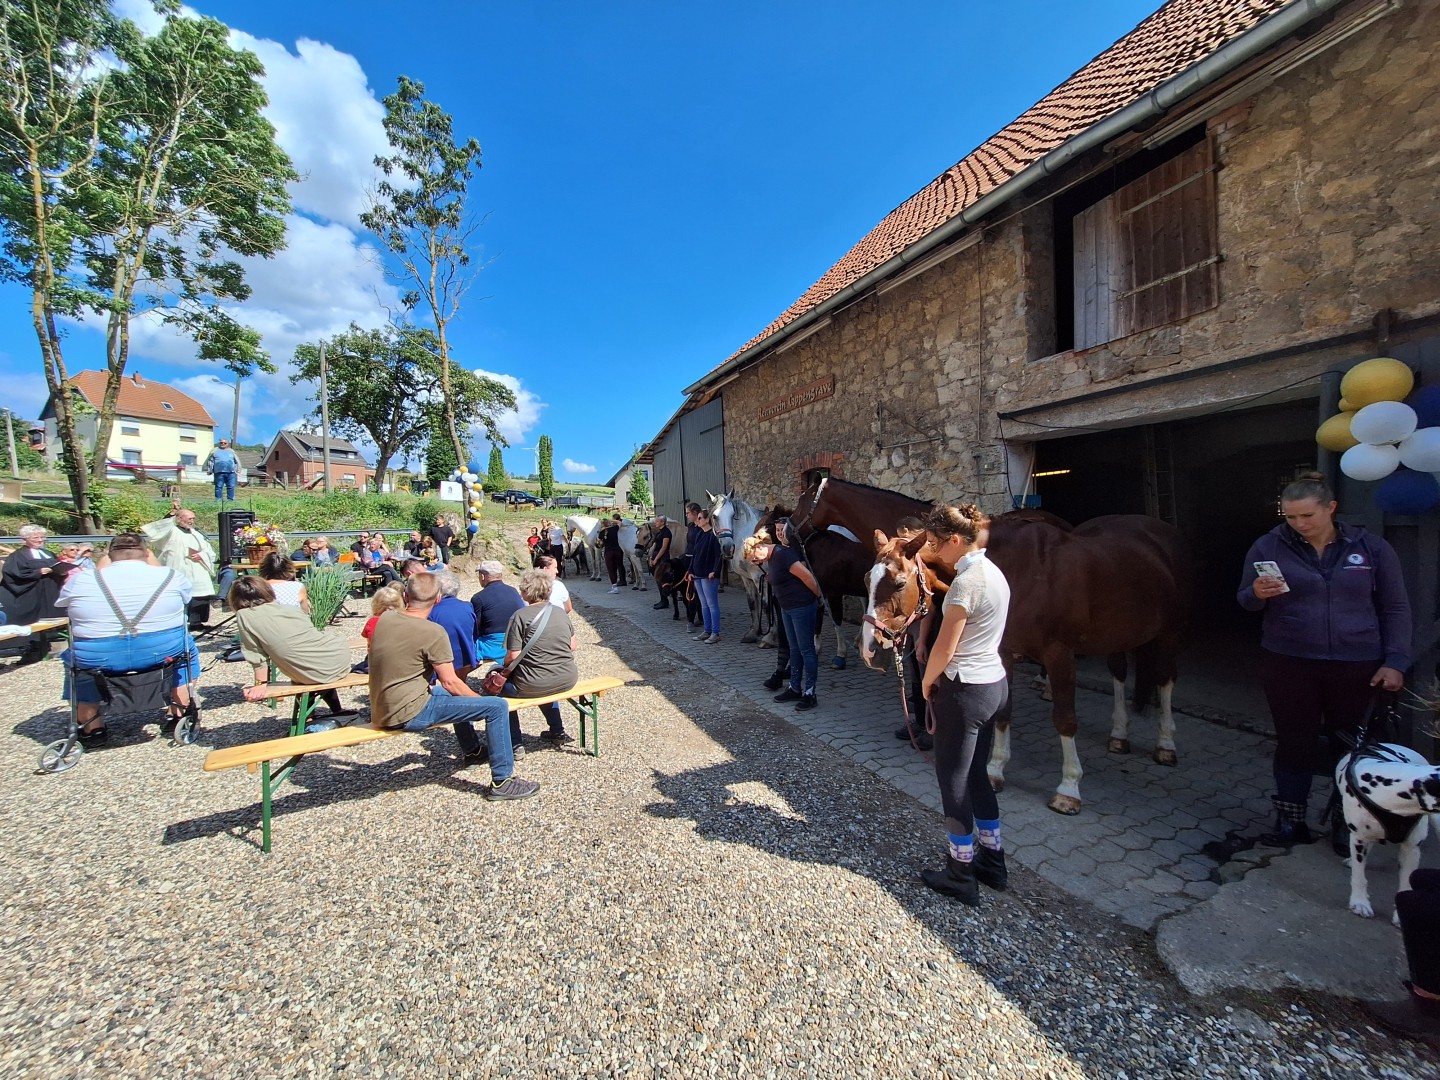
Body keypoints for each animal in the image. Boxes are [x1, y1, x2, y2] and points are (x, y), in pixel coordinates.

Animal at [702, 495, 771, 648]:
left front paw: (770, 637)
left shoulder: (760, 577)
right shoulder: (748, 578)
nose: (728, 548)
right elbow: (753, 603)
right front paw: (753, 633)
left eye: (733, 515)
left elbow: (766, 605)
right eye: (714, 516)